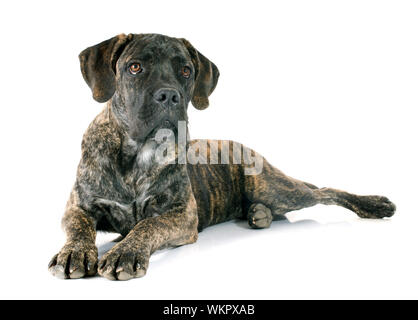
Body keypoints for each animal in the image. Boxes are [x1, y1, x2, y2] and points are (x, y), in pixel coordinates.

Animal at [48, 33, 396, 282]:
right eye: (135, 67)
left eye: (186, 71)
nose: (169, 95)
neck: (138, 155)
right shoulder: (78, 206)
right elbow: (79, 227)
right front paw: (75, 253)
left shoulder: (181, 215)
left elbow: (148, 225)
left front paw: (126, 252)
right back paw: (259, 214)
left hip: (276, 188)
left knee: (323, 191)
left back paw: (375, 204)